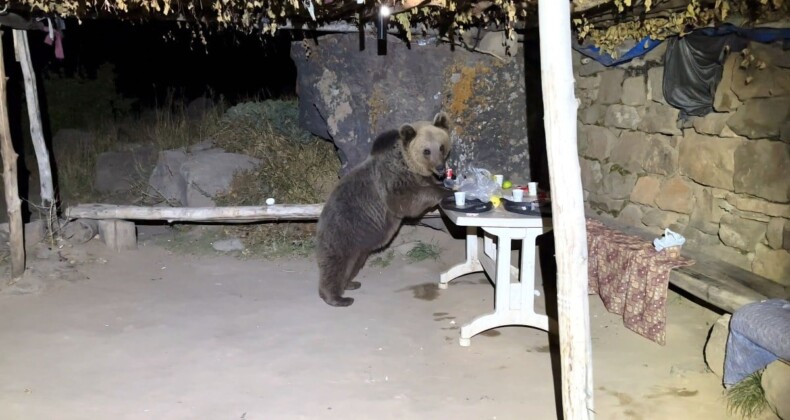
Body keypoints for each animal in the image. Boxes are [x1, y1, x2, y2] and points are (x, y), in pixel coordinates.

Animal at [314, 112, 452, 308]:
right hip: (343, 232)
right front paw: (445, 191)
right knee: (336, 264)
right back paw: (337, 297)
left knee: (353, 264)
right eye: (426, 151)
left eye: (441, 146)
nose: (440, 167)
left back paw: (351, 284)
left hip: (360, 244)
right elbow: (407, 200)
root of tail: (320, 221)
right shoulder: (392, 180)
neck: (407, 163)